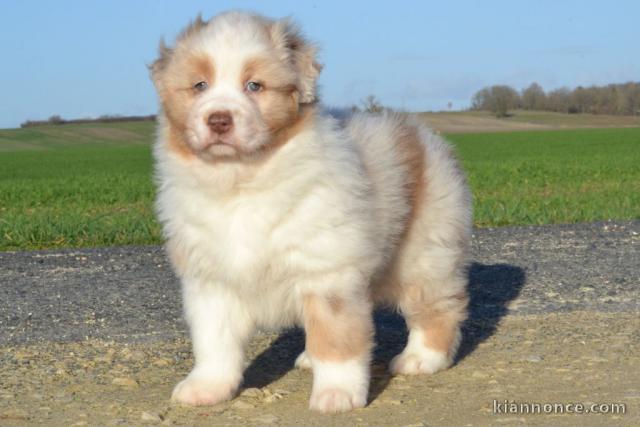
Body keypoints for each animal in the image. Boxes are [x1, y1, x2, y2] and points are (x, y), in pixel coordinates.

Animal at [149, 11, 470, 416]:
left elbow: (337, 340)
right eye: (199, 85)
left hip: (424, 252)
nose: (219, 119)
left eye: (254, 85)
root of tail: (423, 134)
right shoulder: (211, 279)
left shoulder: (327, 271)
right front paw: (206, 387)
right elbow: (214, 341)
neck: (241, 181)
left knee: (438, 306)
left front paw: (336, 395)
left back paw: (420, 359)